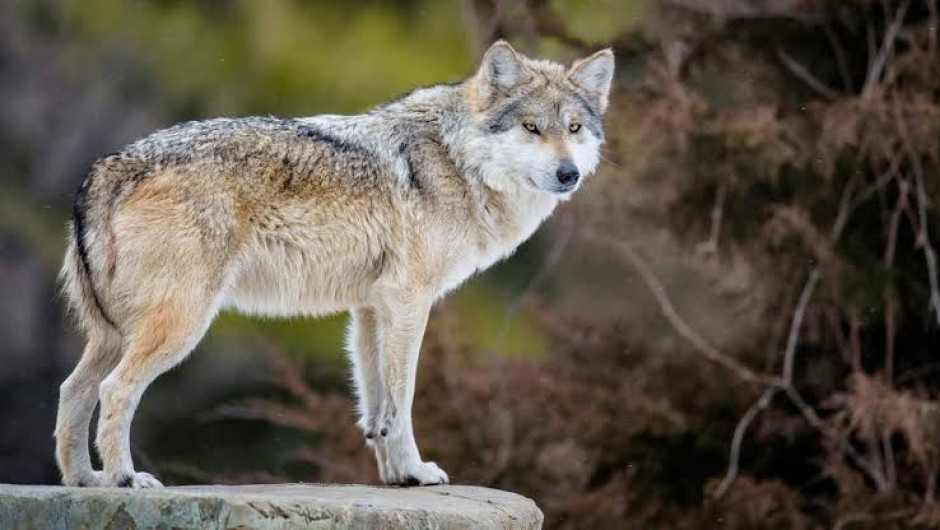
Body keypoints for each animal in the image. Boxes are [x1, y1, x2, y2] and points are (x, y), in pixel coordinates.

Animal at [54, 41, 614, 488]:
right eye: (531, 128)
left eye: (574, 128)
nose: (568, 174)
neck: (457, 160)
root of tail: (108, 165)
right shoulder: (409, 304)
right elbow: (403, 399)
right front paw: (417, 470)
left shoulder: (370, 310)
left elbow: (376, 408)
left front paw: (396, 477)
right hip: (180, 326)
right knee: (114, 390)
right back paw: (125, 480)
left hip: (113, 334)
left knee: (73, 391)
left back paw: (86, 481)